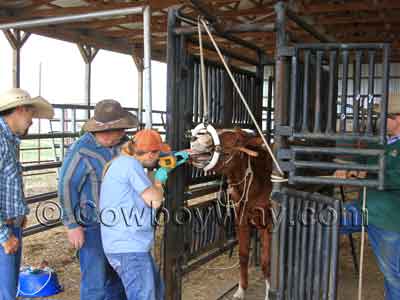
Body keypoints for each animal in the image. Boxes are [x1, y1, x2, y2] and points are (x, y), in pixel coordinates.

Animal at [190, 127, 272, 300]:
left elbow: (266, 261)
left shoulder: (267, 223)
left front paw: (270, 292)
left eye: (238, 140)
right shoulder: (241, 220)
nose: (199, 139)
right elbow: (243, 255)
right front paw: (241, 290)